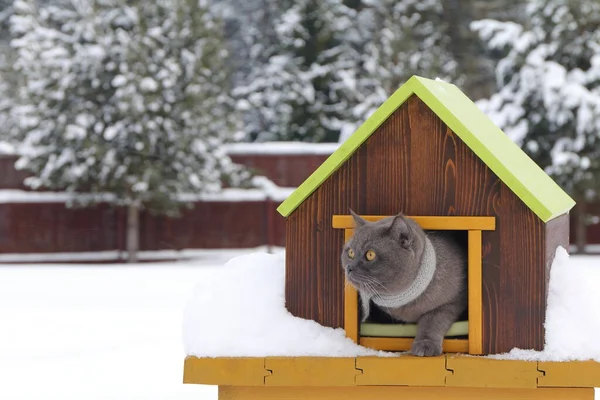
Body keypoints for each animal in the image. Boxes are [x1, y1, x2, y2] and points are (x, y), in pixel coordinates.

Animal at [340, 211, 466, 358]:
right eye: (350, 252)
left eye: (370, 255)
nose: (349, 268)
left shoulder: (451, 302)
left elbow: (432, 321)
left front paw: (425, 345)